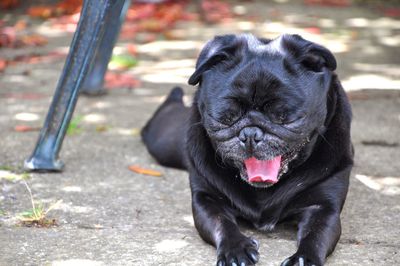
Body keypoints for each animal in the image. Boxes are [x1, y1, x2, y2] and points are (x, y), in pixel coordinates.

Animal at [141, 33, 354, 266]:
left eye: (284, 117)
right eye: (226, 117)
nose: (251, 134)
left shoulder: (323, 207)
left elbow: (315, 235)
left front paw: (303, 259)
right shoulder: (206, 200)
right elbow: (222, 224)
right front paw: (235, 249)